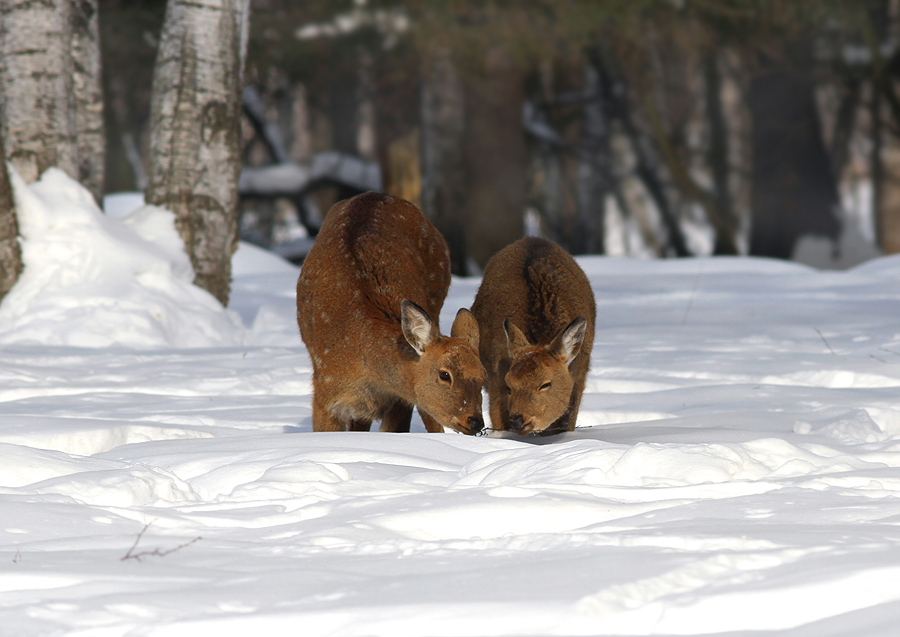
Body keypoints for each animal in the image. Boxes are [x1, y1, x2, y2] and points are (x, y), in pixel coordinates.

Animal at [298, 191, 486, 434]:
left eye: (483, 377)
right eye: (445, 374)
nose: (475, 421)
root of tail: (375, 194)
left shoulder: (399, 401)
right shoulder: (326, 392)